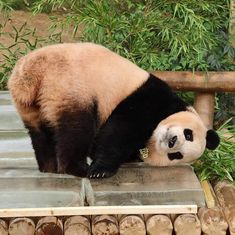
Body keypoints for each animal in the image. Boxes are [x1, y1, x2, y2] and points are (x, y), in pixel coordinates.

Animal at [7, 42, 220, 178]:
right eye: (189, 134)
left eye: (176, 156)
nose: (172, 141)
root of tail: (31, 74)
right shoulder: (149, 100)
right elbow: (118, 131)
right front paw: (101, 170)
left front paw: (129, 159)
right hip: (70, 87)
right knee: (76, 128)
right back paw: (78, 169)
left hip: (31, 104)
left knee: (41, 132)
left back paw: (49, 167)